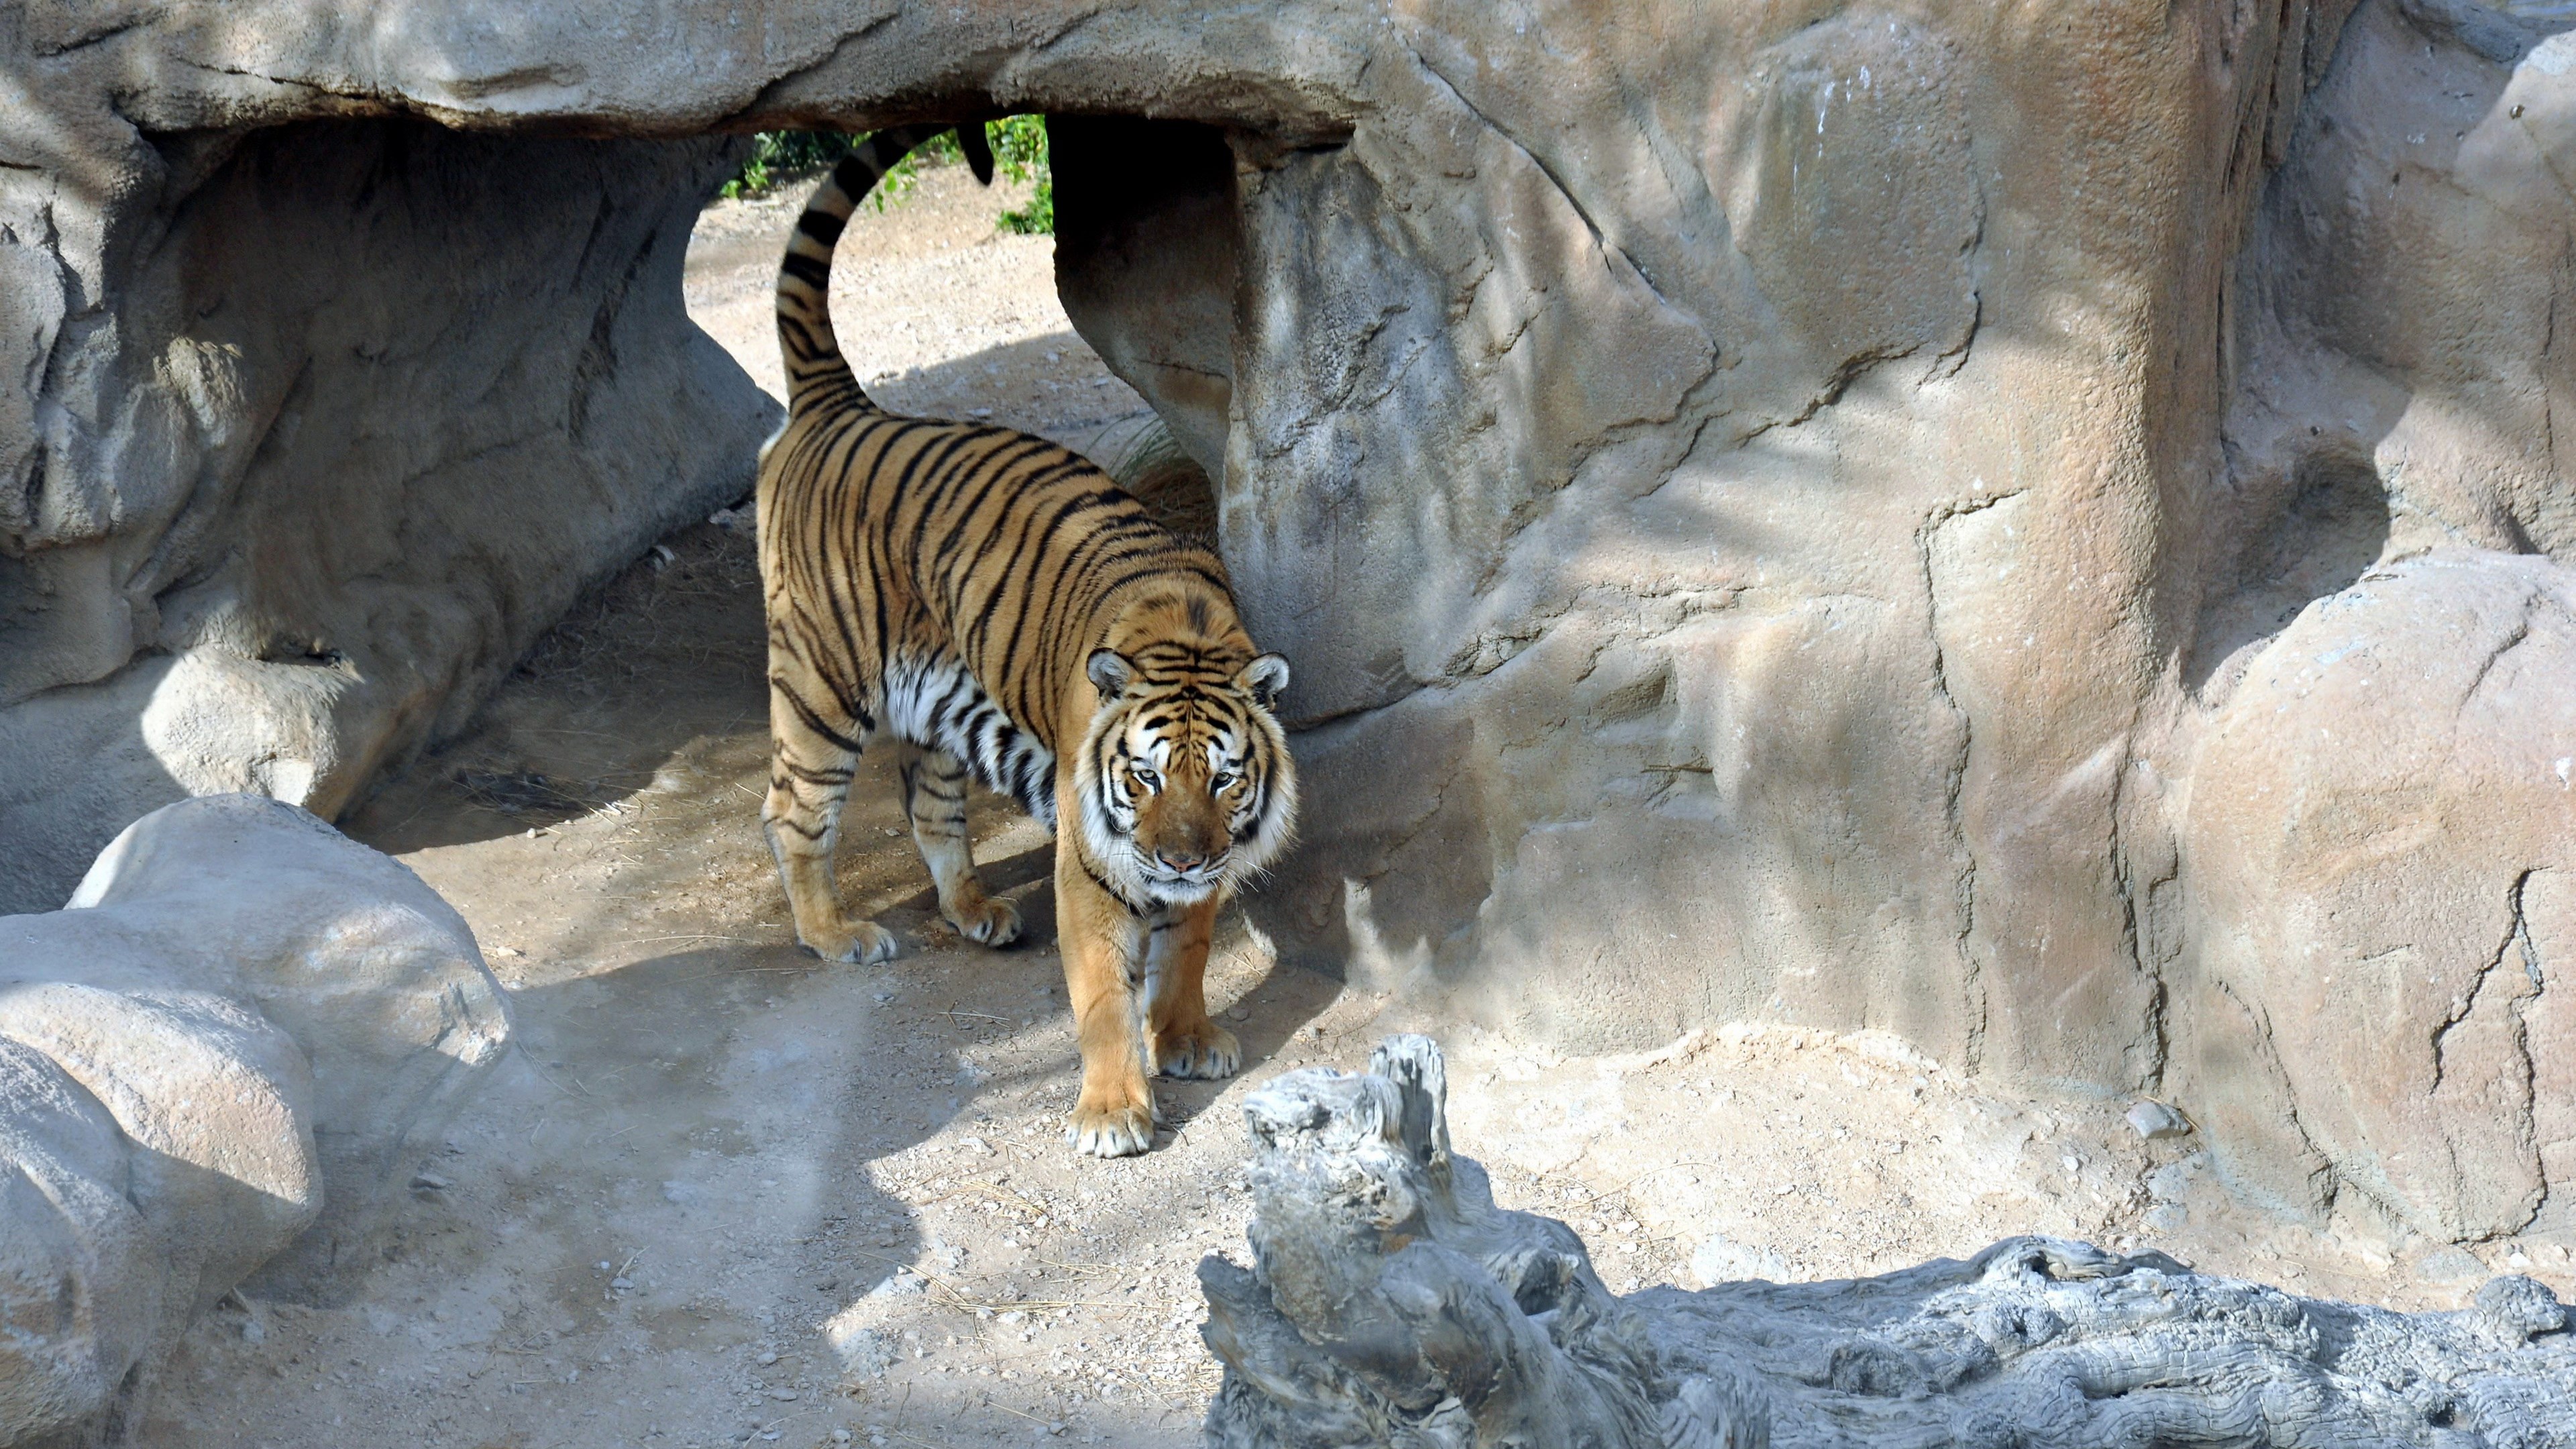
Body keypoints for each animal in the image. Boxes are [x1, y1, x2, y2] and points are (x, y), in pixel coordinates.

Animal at [756, 124, 1298, 1158]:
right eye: (1143, 776)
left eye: (1223, 779)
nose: (1178, 861)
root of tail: (842, 405)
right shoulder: (1090, 863)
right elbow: (1102, 993)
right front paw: (1113, 1110)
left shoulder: (1206, 865)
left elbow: (1188, 951)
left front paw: (1188, 1035)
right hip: (820, 685)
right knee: (793, 812)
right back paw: (835, 934)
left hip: (936, 700)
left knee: (931, 807)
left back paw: (975, 911)